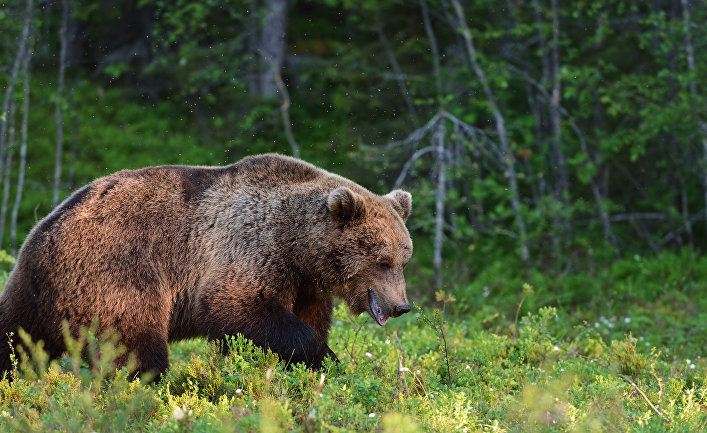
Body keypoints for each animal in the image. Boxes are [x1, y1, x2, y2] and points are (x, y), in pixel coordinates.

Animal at [0, 153, 413, 379]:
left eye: (403, 259)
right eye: (382, 260)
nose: (401, 306)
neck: (299, 247)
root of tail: (43, 229)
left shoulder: (305, 284)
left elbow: (306, 318)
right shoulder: (252, 246)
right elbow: (237, 308)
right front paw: (324, 357)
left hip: (35, 291)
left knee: (15, 337)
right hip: (116, 269)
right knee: (134, 344)